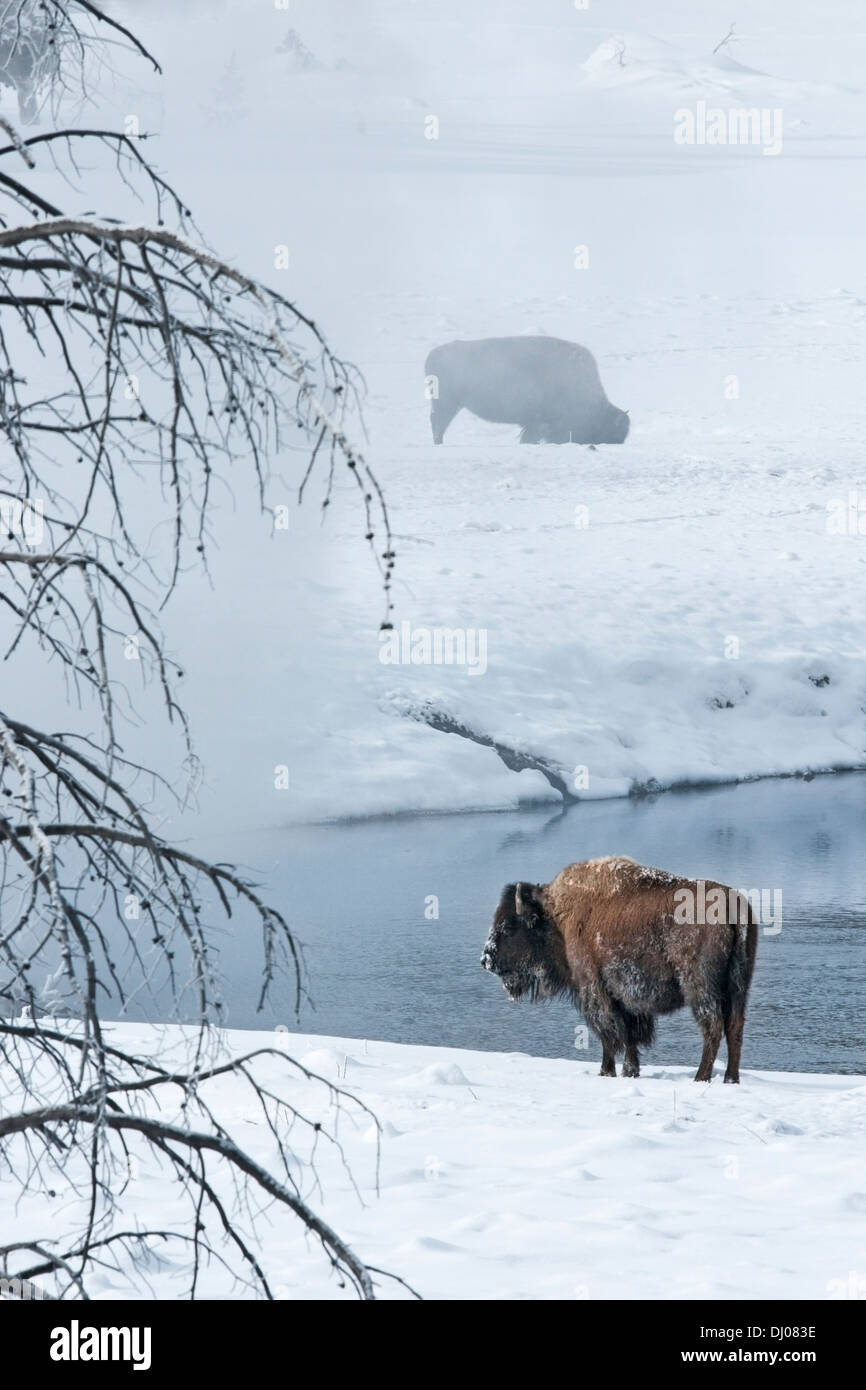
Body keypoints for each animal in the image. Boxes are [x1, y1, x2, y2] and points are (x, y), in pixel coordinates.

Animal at [480, 856, 756, 1084]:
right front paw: (629, 1071)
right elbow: (629, 1035)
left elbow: (609, 1034)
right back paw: (731, 1079)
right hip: (738, 986)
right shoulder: (626, 999)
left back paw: (701, 1077)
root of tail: (731, 901)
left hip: (700, 987)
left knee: (713, 1026)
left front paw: (606, 1072)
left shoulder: (594, 988)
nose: (486, 960)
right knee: (735, 1028)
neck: (557, 917)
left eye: (508, 927)